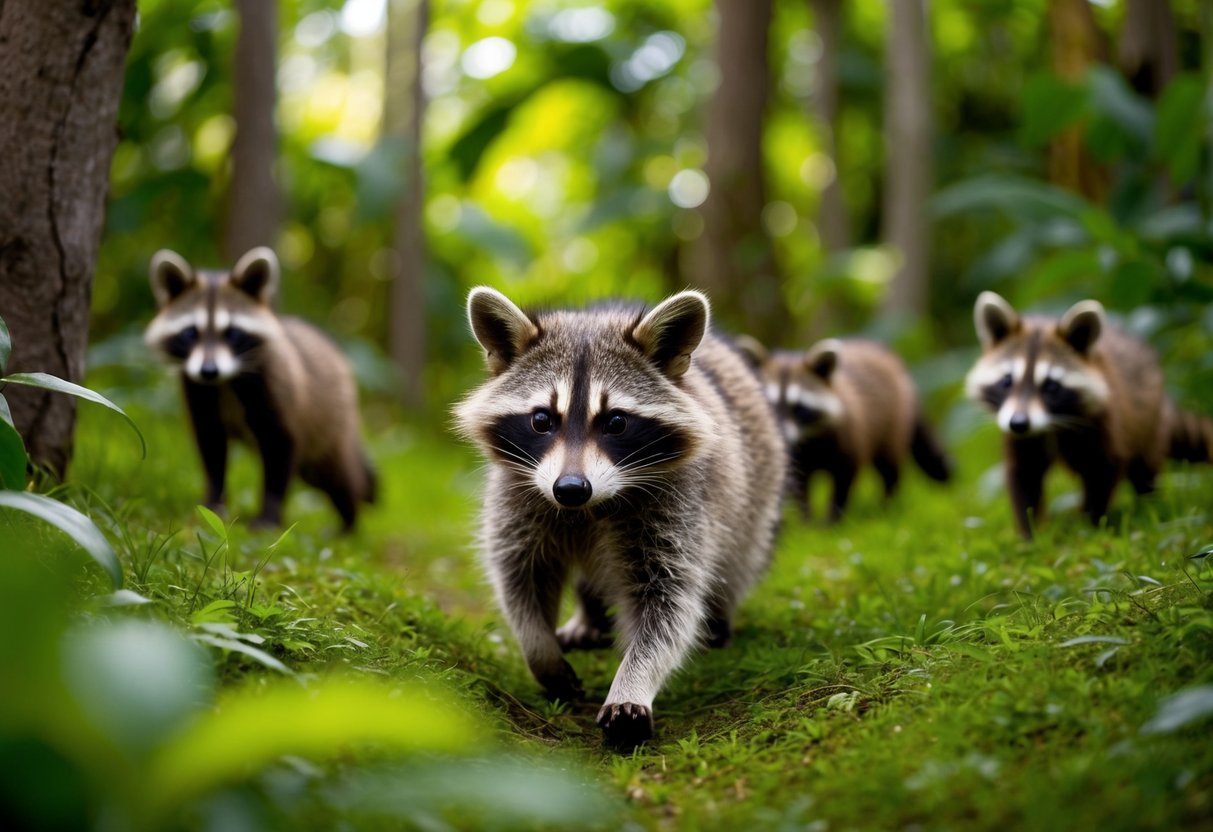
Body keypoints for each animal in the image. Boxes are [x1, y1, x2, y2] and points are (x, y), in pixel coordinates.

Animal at [144, 247, 376, 531]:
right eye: (190, 333)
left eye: (232, 332)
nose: (208, 371)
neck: (225, 381)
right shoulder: (198, 392)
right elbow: (212, 450)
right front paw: (213, 504)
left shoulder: (276, 390)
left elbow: (280, 448)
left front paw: (269, 514)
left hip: (329, 422)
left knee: (337, 474)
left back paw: (348, 520)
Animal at [454, 288, 785, 749]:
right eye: (541, 419)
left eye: (615, 422)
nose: (570, 488)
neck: (585, 509)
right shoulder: (519, 496)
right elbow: (521, 581)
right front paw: (540, 653)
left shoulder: (678, 507)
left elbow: (667, 605)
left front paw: (633, 683)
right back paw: (588, 618)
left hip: (757, 489)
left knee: (737, 559)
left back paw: (720, 619)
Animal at [738, 336, 952, 521]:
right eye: (769, 405)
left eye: (800, 408)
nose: (780, 435)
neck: (808, 441)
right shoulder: (796, 457)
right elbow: (800, 486)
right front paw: (806, 519)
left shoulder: (849, 434)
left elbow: (844, 478)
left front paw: (833, 517)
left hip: (894, 419)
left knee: (889, 466)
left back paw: (888, 503)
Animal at [965, 291, 1213, 539]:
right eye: (1007, 381)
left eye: (1051, 386)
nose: (1018, 423)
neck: (1051, 425)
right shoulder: (1022, 437)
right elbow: (1025, 475)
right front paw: (1031, 531)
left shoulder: (1106, 420)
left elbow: (1103, 468)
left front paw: (1089, 523)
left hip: (1148, 423)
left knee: (1145, 467)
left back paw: (1148, 503)